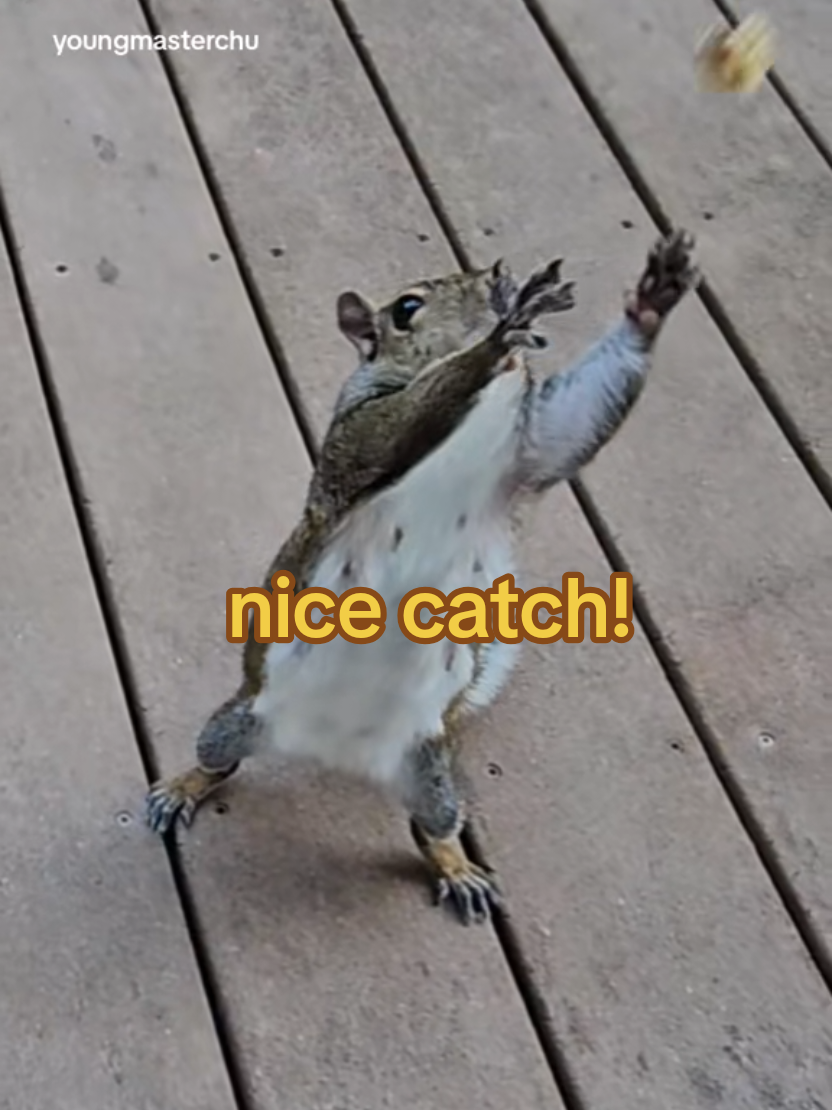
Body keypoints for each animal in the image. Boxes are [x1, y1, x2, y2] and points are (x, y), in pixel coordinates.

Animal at [146, 230, 698, 925]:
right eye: (406, 309)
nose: (497, 291)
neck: (480, 417)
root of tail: (336, 750)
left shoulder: (533, 447)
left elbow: (571, 426)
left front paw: (652, 302)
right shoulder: (358, 432)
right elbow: (399, 423)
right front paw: (497, 341)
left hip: (431, 776)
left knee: (429, 829)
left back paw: (457, 867)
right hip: (234, 722)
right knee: (219, 763)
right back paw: (182, 786)